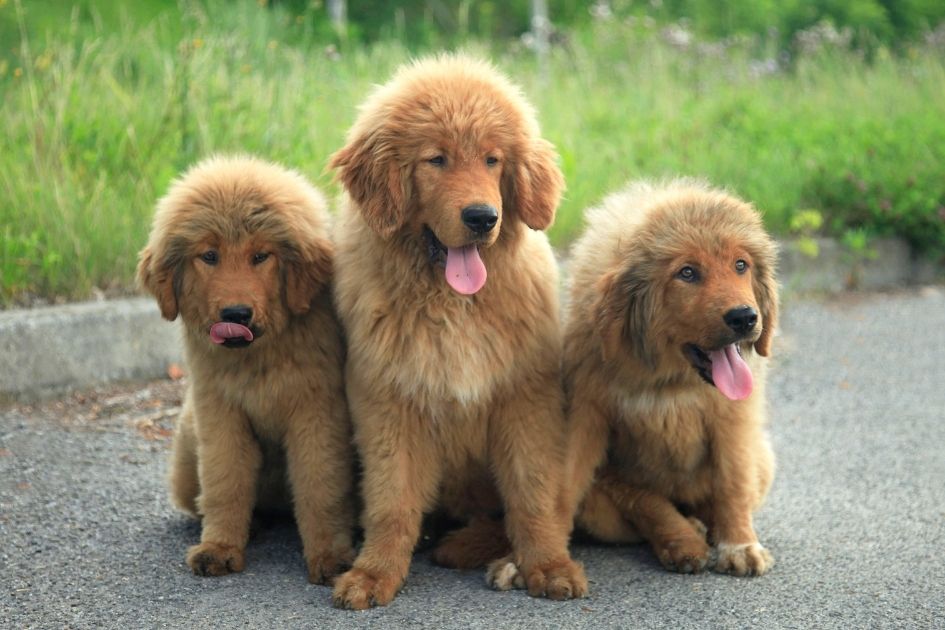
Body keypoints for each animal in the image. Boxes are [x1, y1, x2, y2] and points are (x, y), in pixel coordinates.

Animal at [140, 156, 358, 584]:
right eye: (209, 256)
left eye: (261, 256)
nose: (236, 314)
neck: (258, 358)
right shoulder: (220, 412)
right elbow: (225, 480)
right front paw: (220, 547)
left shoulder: (317, 412)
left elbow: (320, 486)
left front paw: (330, 556)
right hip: (187, 442)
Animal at [328, 55, 588, 612]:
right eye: (436, 160)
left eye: (492, 160)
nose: (482, 218)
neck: (453, 305)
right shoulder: (389, 403)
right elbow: (392, 501)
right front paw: (374, 573)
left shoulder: (525, 398)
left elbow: (533, 495)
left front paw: (549, 566)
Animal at [564, 180, 780, 580]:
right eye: (687, 273)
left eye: (740, 265)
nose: (745, 317)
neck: (669, 381)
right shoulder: (585, 413)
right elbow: (565, 484)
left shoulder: (734, 420)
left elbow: (733, 484)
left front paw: (739, 544)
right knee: (639, 498)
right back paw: (682, 539)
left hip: (764, 459)